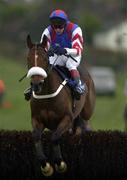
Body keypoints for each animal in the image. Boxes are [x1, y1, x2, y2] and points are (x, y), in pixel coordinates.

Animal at [25, 34, 95, 176]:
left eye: (44, 58)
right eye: (28, 58)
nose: (36, 84)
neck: (47, 94)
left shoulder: (67, 118)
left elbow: (55, 137)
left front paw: (60, 163)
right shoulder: (37, 119)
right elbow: (36, 137)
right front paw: (45, 165)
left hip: (87, 111)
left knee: (82, 123)